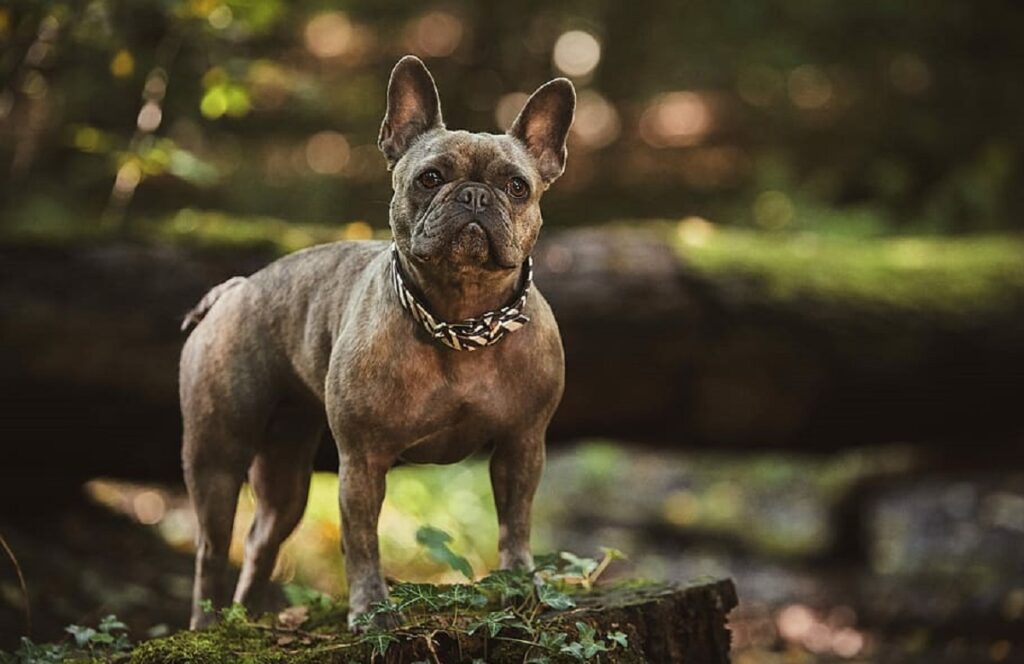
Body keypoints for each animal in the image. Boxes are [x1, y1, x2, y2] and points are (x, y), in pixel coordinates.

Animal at [179, 55, 573, 627]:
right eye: (430, 178)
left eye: (517, 186)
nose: (475, 194)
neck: (461, 319)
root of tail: (236, 288)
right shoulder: (362, 461)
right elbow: (361, 540)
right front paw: (371, 610)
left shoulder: (522, 446)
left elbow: (515, 522)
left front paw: (520, 583)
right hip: (217, 456)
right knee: (212, 550)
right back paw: (209, 626)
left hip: (286, 471)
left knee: (261, 539)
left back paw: (247, 618)